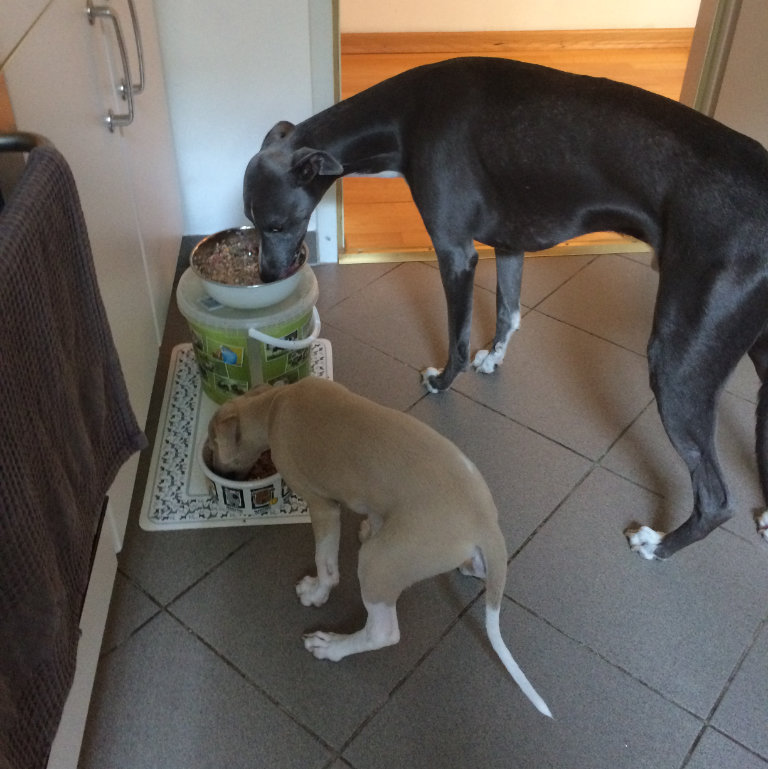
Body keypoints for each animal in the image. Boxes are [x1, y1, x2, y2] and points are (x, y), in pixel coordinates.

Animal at [204, 376, 552, 716]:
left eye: (211, 443)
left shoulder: (322, 505)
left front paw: (317, 593)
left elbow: (325, 563)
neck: (275, 405)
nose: (213, 468)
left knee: (382, 631)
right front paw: (372, 526)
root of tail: (485, 523)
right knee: (475, 568)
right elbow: (371, 511)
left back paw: (332, 647)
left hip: (378, 563)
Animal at [243, 54, 768, 560]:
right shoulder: (511, 243)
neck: (408, 115)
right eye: (251, 219)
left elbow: (456, 341)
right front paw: (493, 358)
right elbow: (508, 314)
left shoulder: (456, 252)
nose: (266, 277)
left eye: (275, 224)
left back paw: (659, 545)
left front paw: (441, 382)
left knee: (717, 498)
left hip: (680, 364)